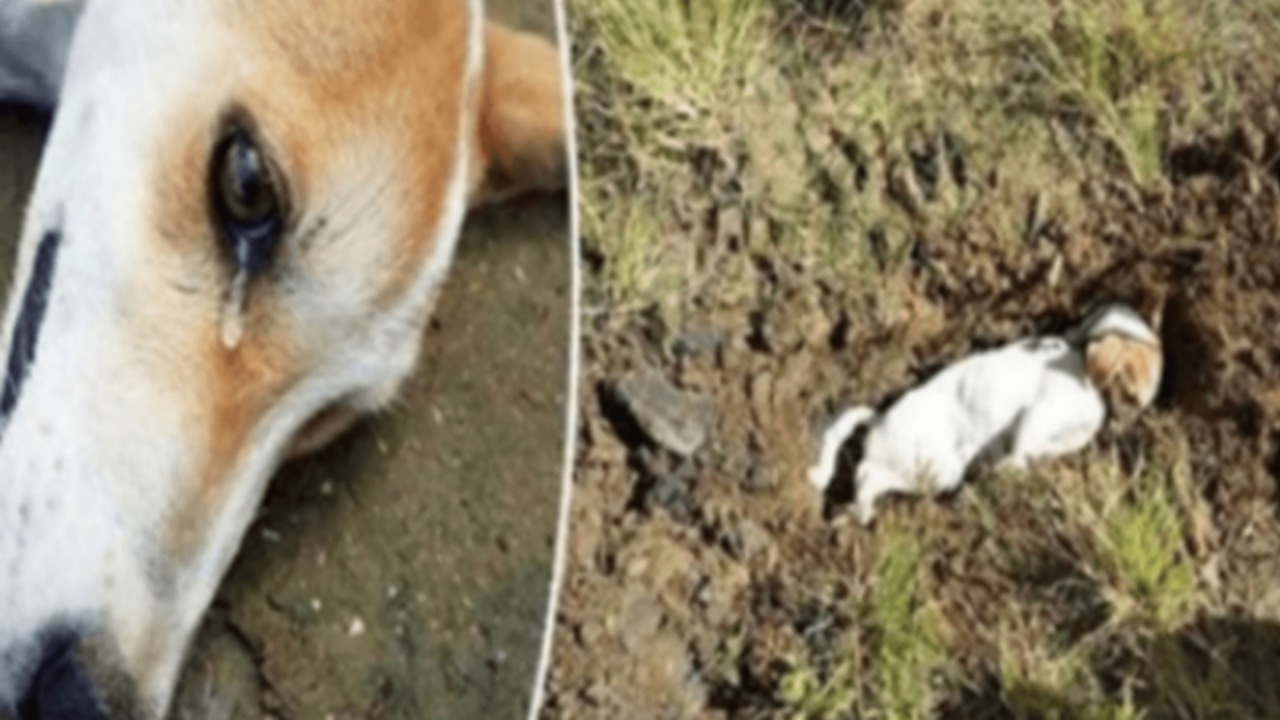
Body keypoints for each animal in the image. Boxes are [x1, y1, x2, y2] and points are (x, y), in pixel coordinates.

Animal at [814, 302, 1167, 520]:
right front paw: (1005, 469)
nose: (1127, 425)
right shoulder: (1038, 414)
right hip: (935, 470)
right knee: (866, 475)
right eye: (1131, 391)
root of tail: (878, 420)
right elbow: (1020, 448)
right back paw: (856, 512)